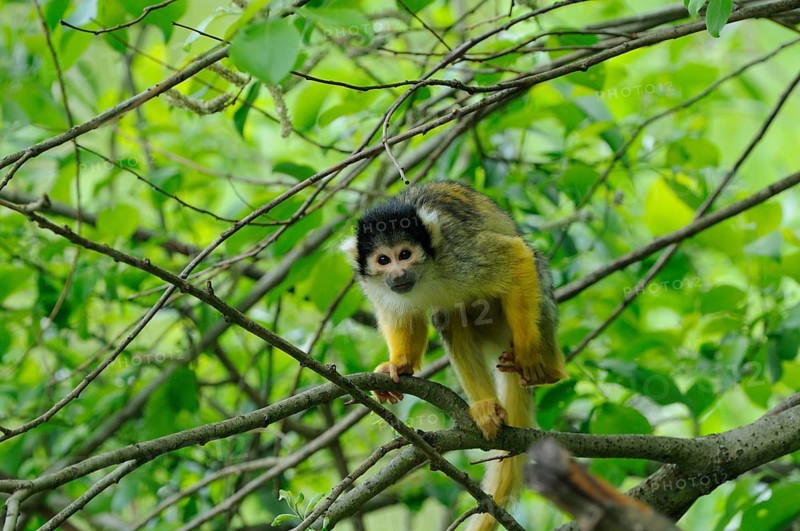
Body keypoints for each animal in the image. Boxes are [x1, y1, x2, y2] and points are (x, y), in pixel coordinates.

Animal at [341, 180, 568, 531]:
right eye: (383, 260)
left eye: (405, 254)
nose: (398, 273)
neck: (426, 273)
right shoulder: (378, 286)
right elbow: (401, 314)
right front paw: (399, 364)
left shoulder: (457, 253)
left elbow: (515, 256)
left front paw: (529, 352)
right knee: (450, 317)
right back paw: (487, 407)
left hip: (533, 301)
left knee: (530, 264)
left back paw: (546, 368)